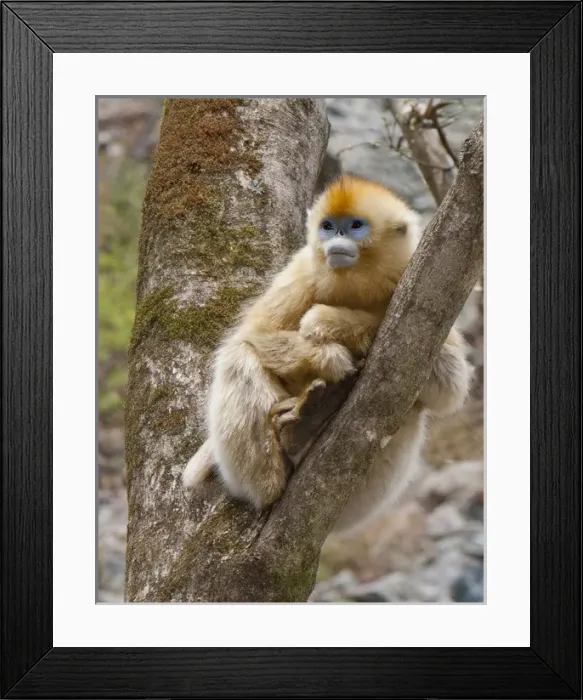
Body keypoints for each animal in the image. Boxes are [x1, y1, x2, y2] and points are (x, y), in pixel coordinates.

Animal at [183, 173, 472, 533]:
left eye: (355, 226)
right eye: (328, 226)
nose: (336, 238)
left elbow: (450, 386)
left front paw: (329, 321)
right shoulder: (302, 270)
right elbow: (254, 334)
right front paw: (334, 358)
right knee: (237, 355)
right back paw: (277, 472)